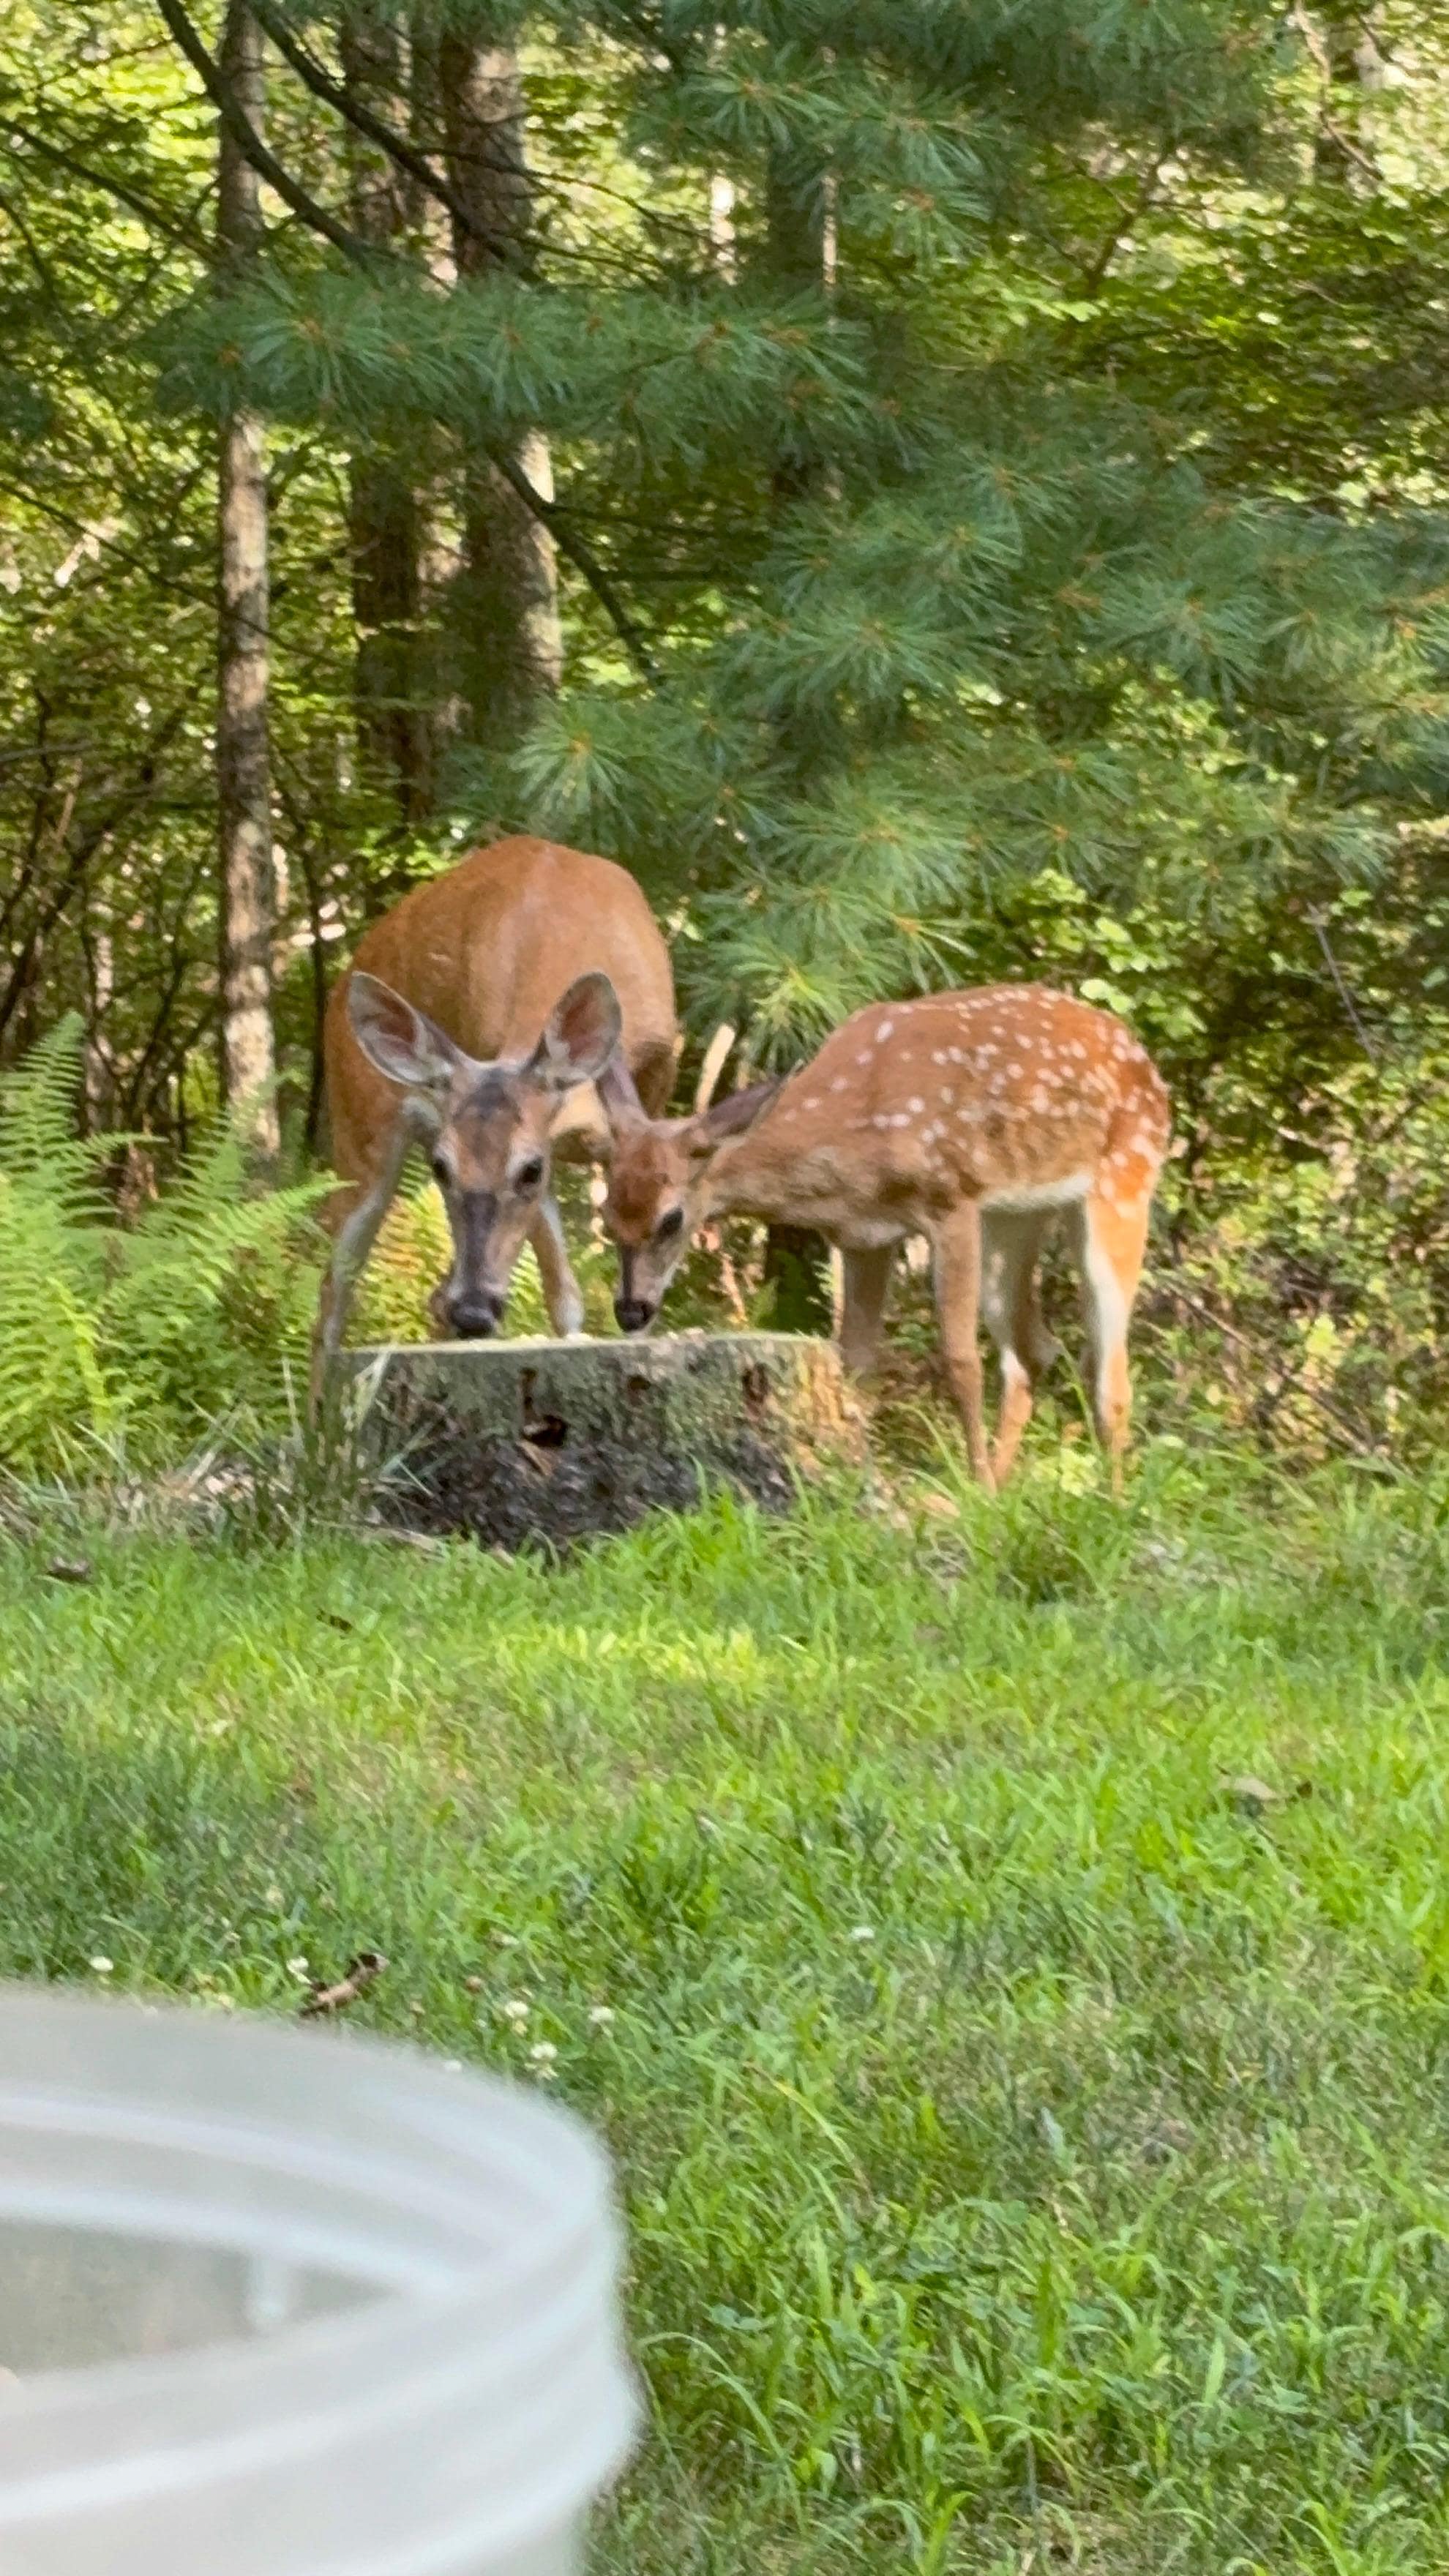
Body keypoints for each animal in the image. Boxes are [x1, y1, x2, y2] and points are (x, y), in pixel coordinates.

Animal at [312, 836, 678, 1407]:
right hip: (358, 1126)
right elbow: (563, 1286)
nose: (474, 1311)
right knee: (333, 1292)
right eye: (441, 1167)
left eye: (529, 1170)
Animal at [597, 985, 1171, 1493]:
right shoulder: (863, 1237)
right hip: (1013, 1219)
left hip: (1124, 1180)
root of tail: (1150, 1070)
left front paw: (976, 1492)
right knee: (1033, 1354)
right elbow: (855, 1363)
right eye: (606, 1214)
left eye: (672, 1219)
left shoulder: (952, 1199)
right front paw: (856, 1474)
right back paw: (1012, 1488)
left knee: (1111, 1375)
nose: (631, 1311)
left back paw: (1108, 1499)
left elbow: (961, 1360)